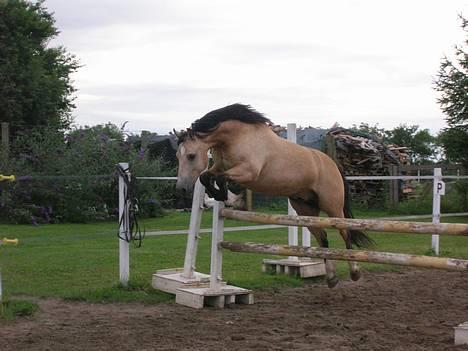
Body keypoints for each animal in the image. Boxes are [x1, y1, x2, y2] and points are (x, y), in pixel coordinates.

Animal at [174, 102, 374, 288]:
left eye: (191, 155)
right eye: (177, 155)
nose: (181, 188)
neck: (237, 136)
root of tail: (332, 164)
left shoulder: (248, 172)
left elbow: (220, 178)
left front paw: (221, 194)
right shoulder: (220, 167)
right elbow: (206, 176)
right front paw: (217, 194)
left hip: (333, 207)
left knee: (346, 234)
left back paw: (354, 273)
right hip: (305, 209)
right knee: (323, 238)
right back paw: (331, 279)